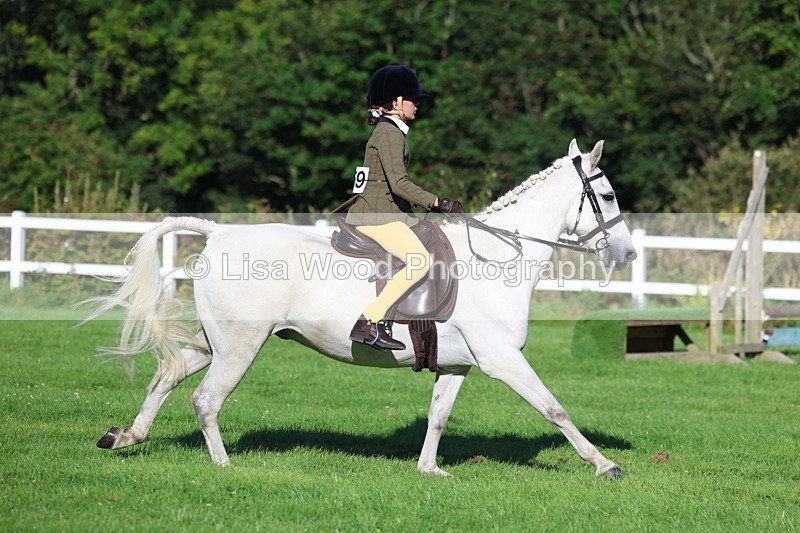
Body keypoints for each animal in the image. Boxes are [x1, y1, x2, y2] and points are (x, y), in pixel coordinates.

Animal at [86, 138, 637, 478]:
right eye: (608, 195)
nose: (628, 254)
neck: (495, 260)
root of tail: (220, 232)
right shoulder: (502, 358)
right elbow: (554, 407)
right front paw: (605, 464)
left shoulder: (457, 365)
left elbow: (438, 416)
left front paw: (429, 469)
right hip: (241, 345)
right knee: (205, 400)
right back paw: (223, 465)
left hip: (215, 342)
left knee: (168, 372)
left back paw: (125, 436)